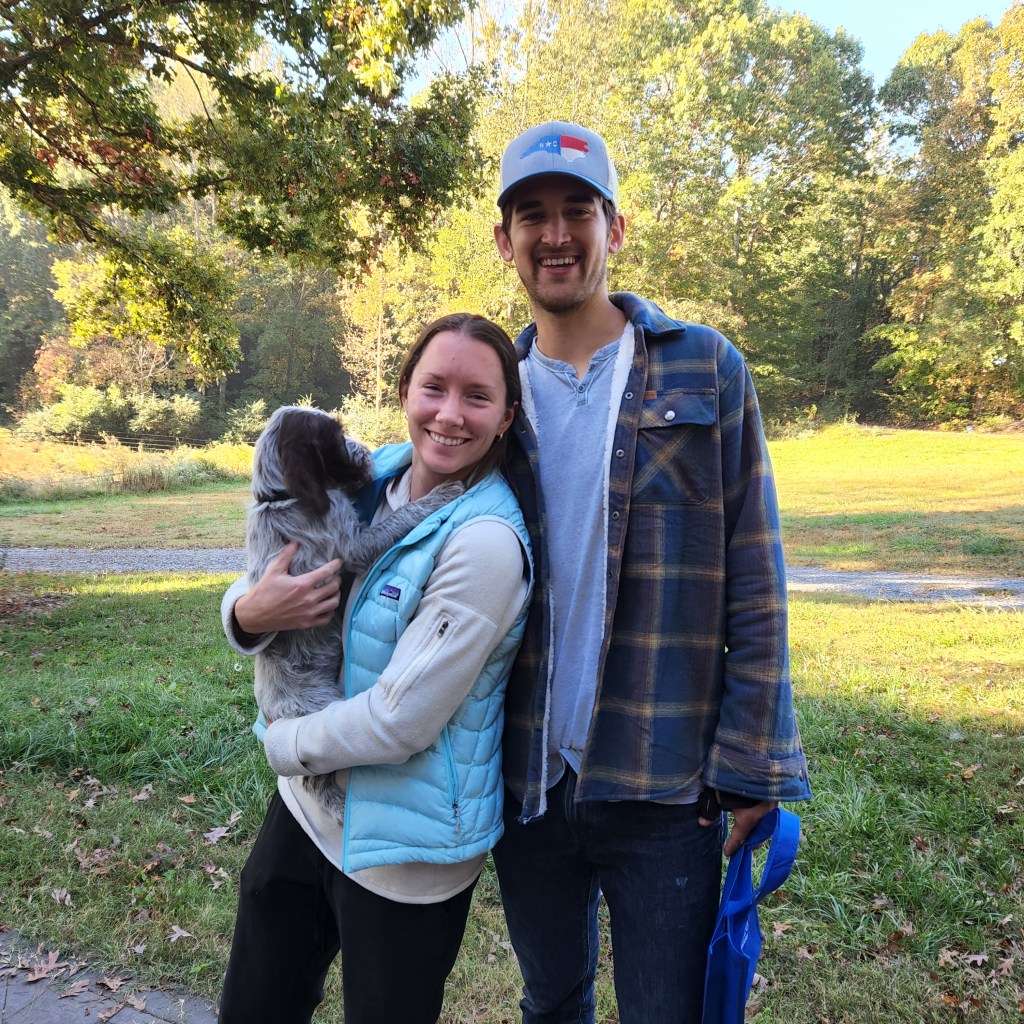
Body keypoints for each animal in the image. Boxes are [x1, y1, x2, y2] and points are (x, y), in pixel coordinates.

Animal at [246, 405, 462, 821]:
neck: (281, 497)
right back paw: (338, 807)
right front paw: (442, 494)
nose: (364, 450)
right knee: (314, 777)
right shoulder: (354, 546)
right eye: (335, 436)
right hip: (318, 712)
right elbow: (399, 518)